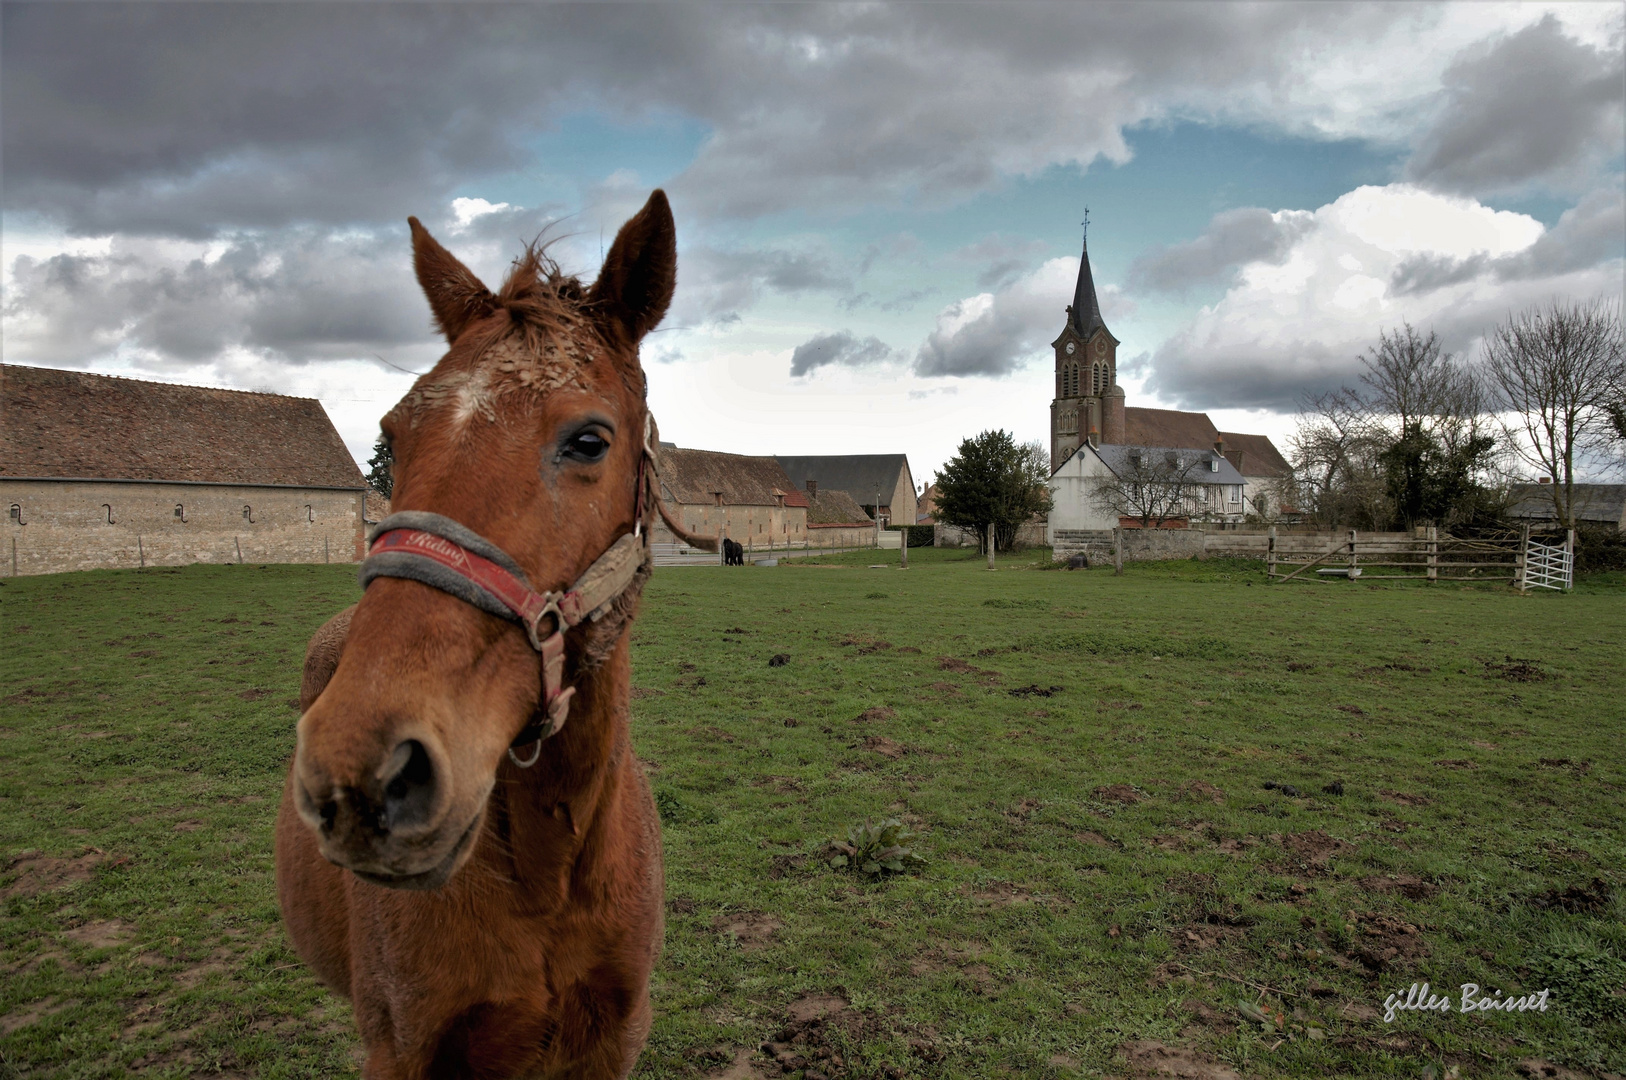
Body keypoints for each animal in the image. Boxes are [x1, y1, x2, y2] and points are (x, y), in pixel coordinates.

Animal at [276, 189, 695, 1073]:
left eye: (589, 440)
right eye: (393, 435)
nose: (363, 768)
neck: (548, 869)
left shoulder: (615, 1039)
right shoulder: (404, 1050)